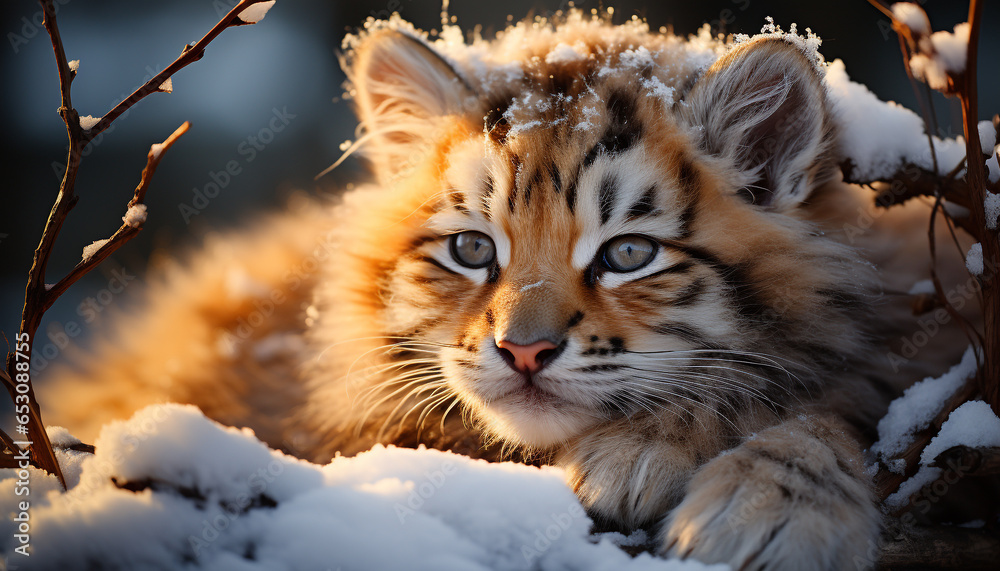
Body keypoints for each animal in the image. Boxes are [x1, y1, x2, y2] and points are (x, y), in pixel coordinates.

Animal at [43, 11, 973, 569]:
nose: (522, 349)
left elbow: (821, 405)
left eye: (628, 252)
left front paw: (762, 503)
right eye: (470, 249)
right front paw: (658, 454)